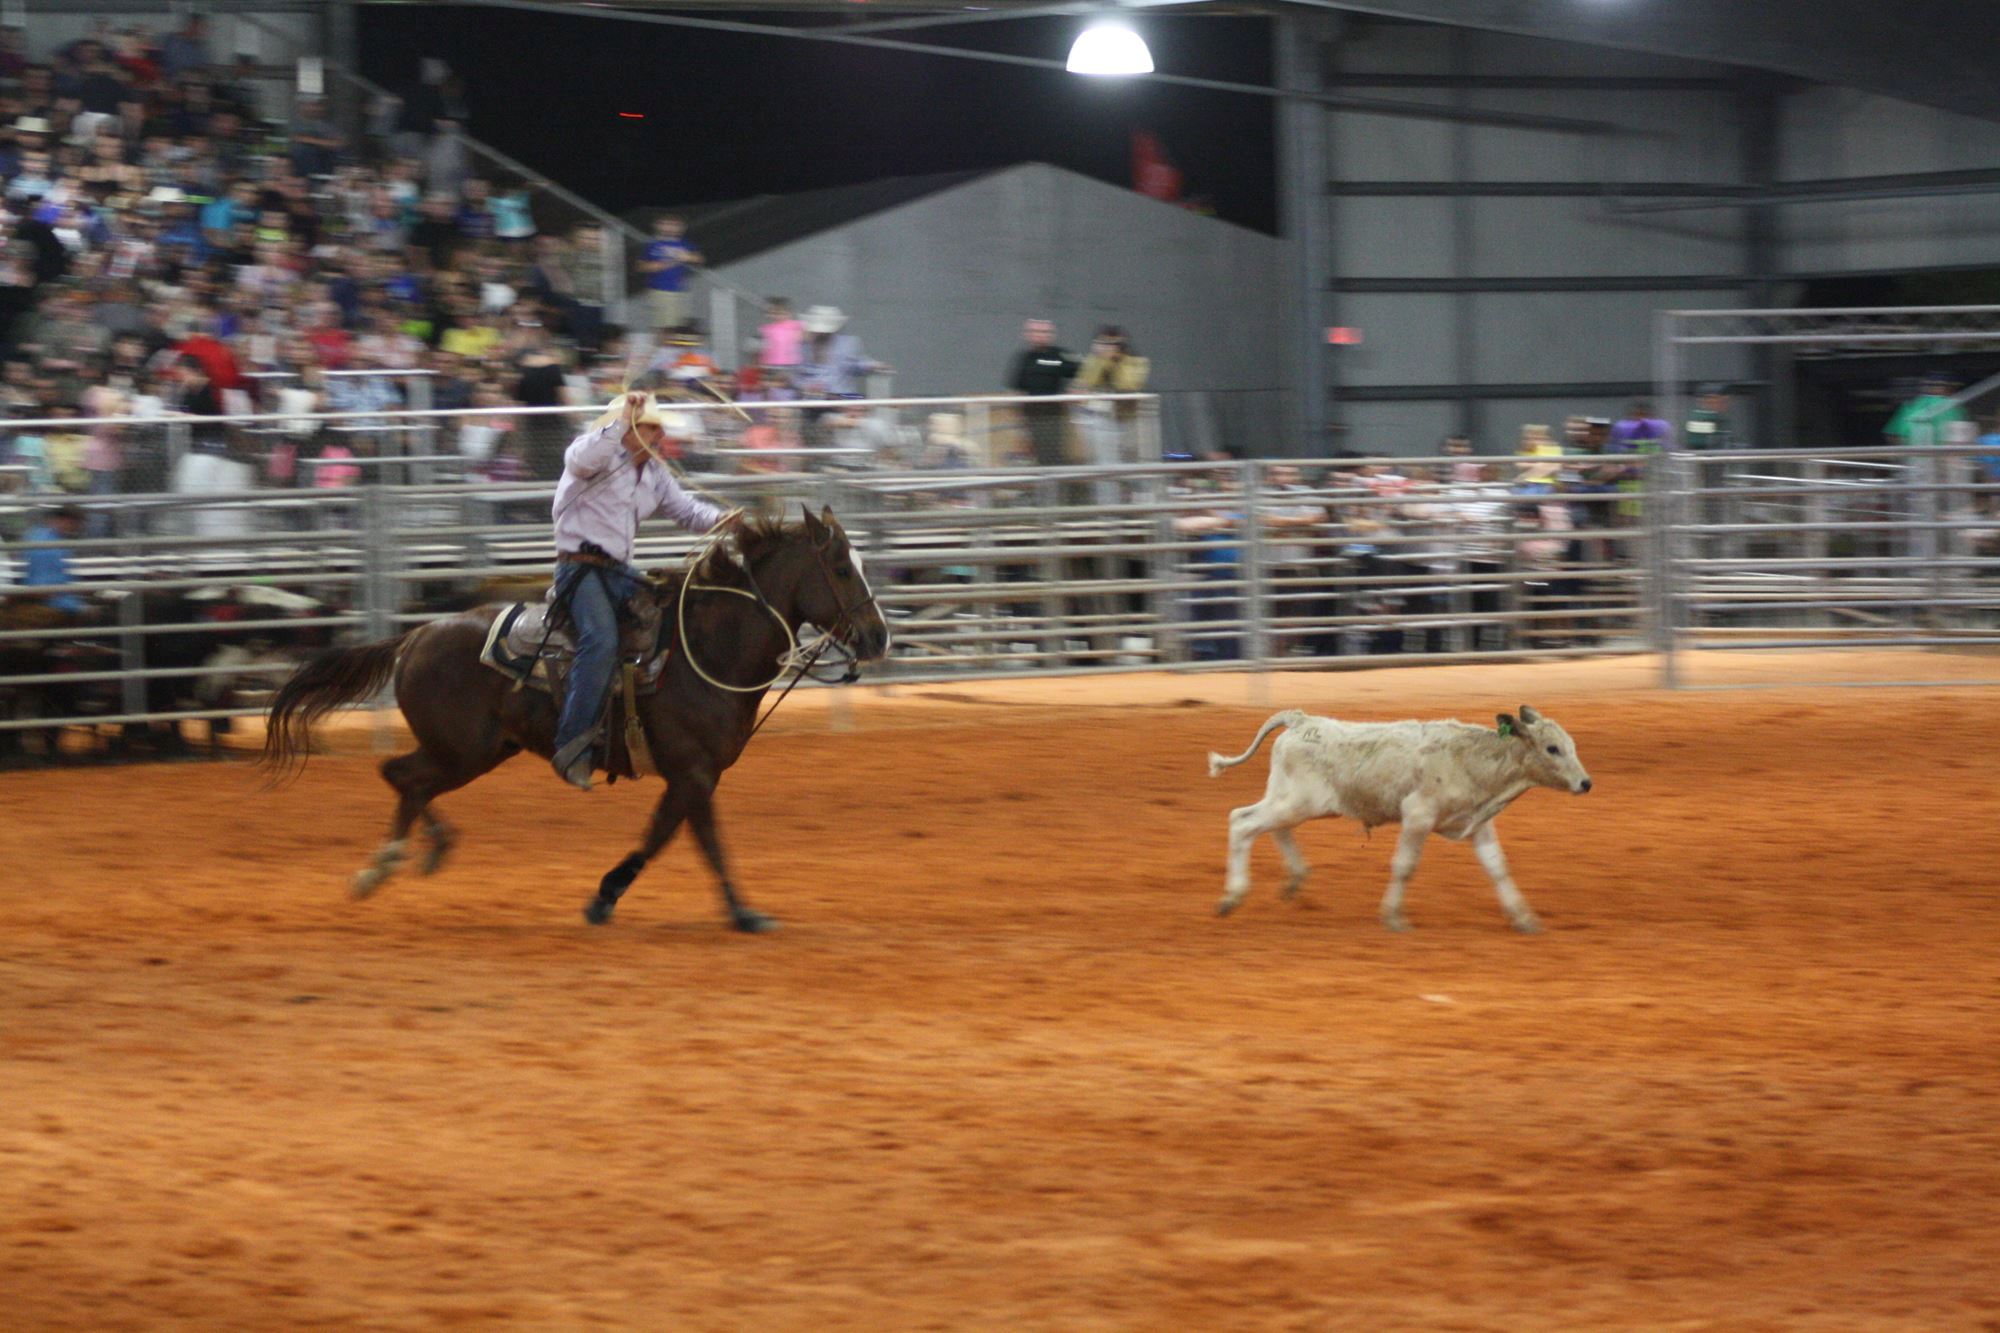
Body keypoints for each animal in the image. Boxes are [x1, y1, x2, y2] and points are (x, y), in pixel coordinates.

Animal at [260, 504, 892, 928]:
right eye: (841, 568)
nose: (879, 637)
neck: (708, 647)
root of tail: (415, 636)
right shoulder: (692, 771)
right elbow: (690, 839)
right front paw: (728, 911)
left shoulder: (695, 775)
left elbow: (677, 837)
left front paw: (618, 896)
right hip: (463, 750)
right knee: (402, 776)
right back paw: (386, 864)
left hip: (479, 750)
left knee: (407, 780)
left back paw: (426, 849)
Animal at [1200, 700, 1592, 928]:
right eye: (1552, 748)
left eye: (1570, 746)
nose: (1585, 783)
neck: (1471, 759)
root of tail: (1300, 720)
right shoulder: (1417, 815)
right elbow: (1405, 865)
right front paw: (1393, 916)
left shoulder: (1478, 823)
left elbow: (1497, 867)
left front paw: (1524, 918)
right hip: (1296, 801)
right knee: (1242, 822)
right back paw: (1232, 896)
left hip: (1289, 800)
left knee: (1270, 827)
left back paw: (1294, 879)